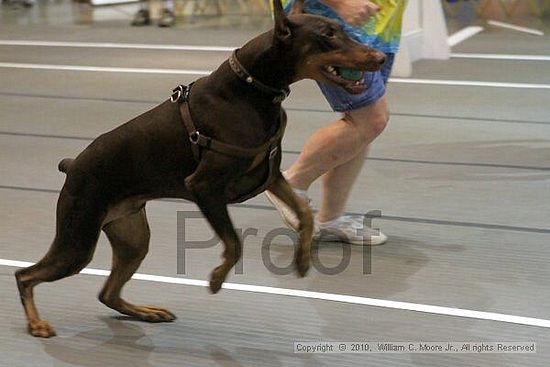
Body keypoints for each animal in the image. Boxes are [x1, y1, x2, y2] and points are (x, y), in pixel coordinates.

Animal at [17, 0, 388, 340]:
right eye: (328, 34)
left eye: (340, 29)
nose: (381, 58)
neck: (251, 88)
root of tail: (72, 165)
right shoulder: (204, 187)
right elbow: (235, 243)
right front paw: (217, 278)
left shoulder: (270, 175)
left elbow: (305, 214)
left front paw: (302, 258)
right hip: (78, 238)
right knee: (25, 276)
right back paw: (37, 324)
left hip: (132, 235)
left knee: (107, 292)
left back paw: (147, 312)